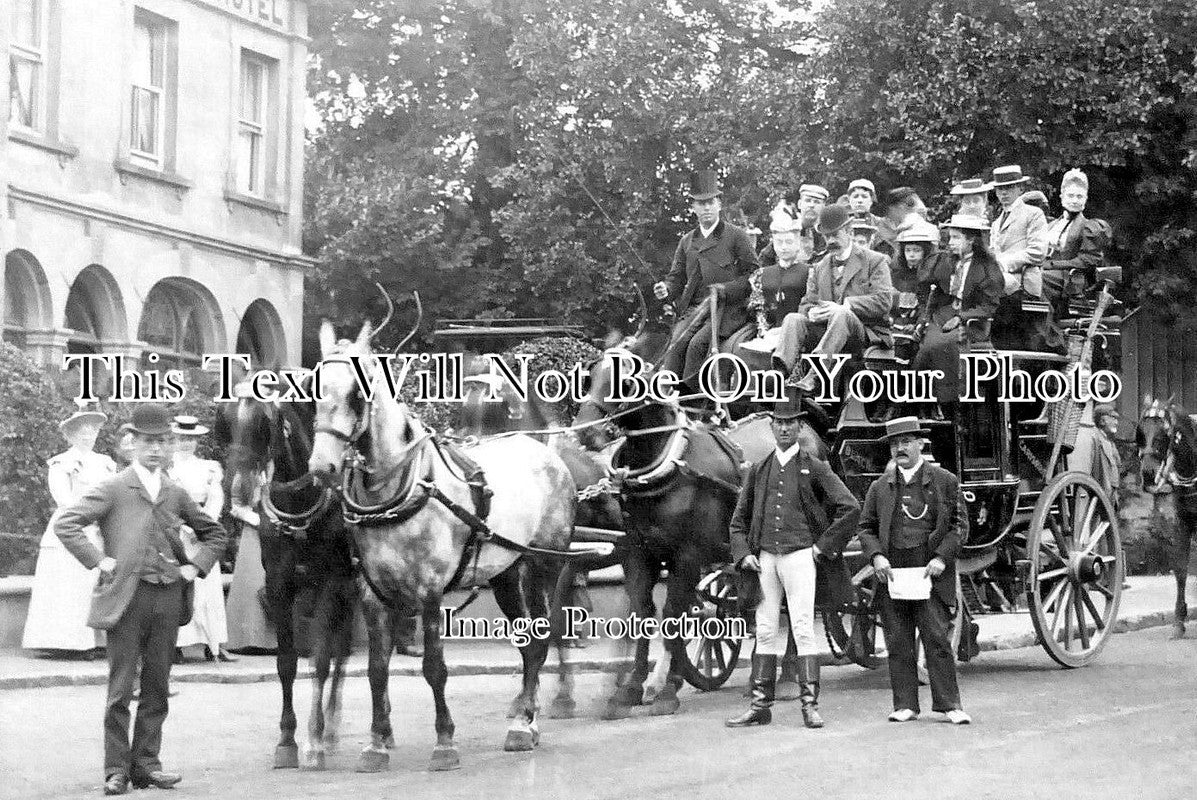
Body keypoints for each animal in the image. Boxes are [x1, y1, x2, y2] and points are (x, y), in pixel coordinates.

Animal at [219, 388, 359, 766]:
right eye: (226, 419)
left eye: (265, 422)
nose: (239, 488)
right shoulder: (278, 587)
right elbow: (286, 663)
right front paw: (286, 740)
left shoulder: (331, 583)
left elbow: (321, 660)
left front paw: (314, 739)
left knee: (344, 650)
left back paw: (335, 727)